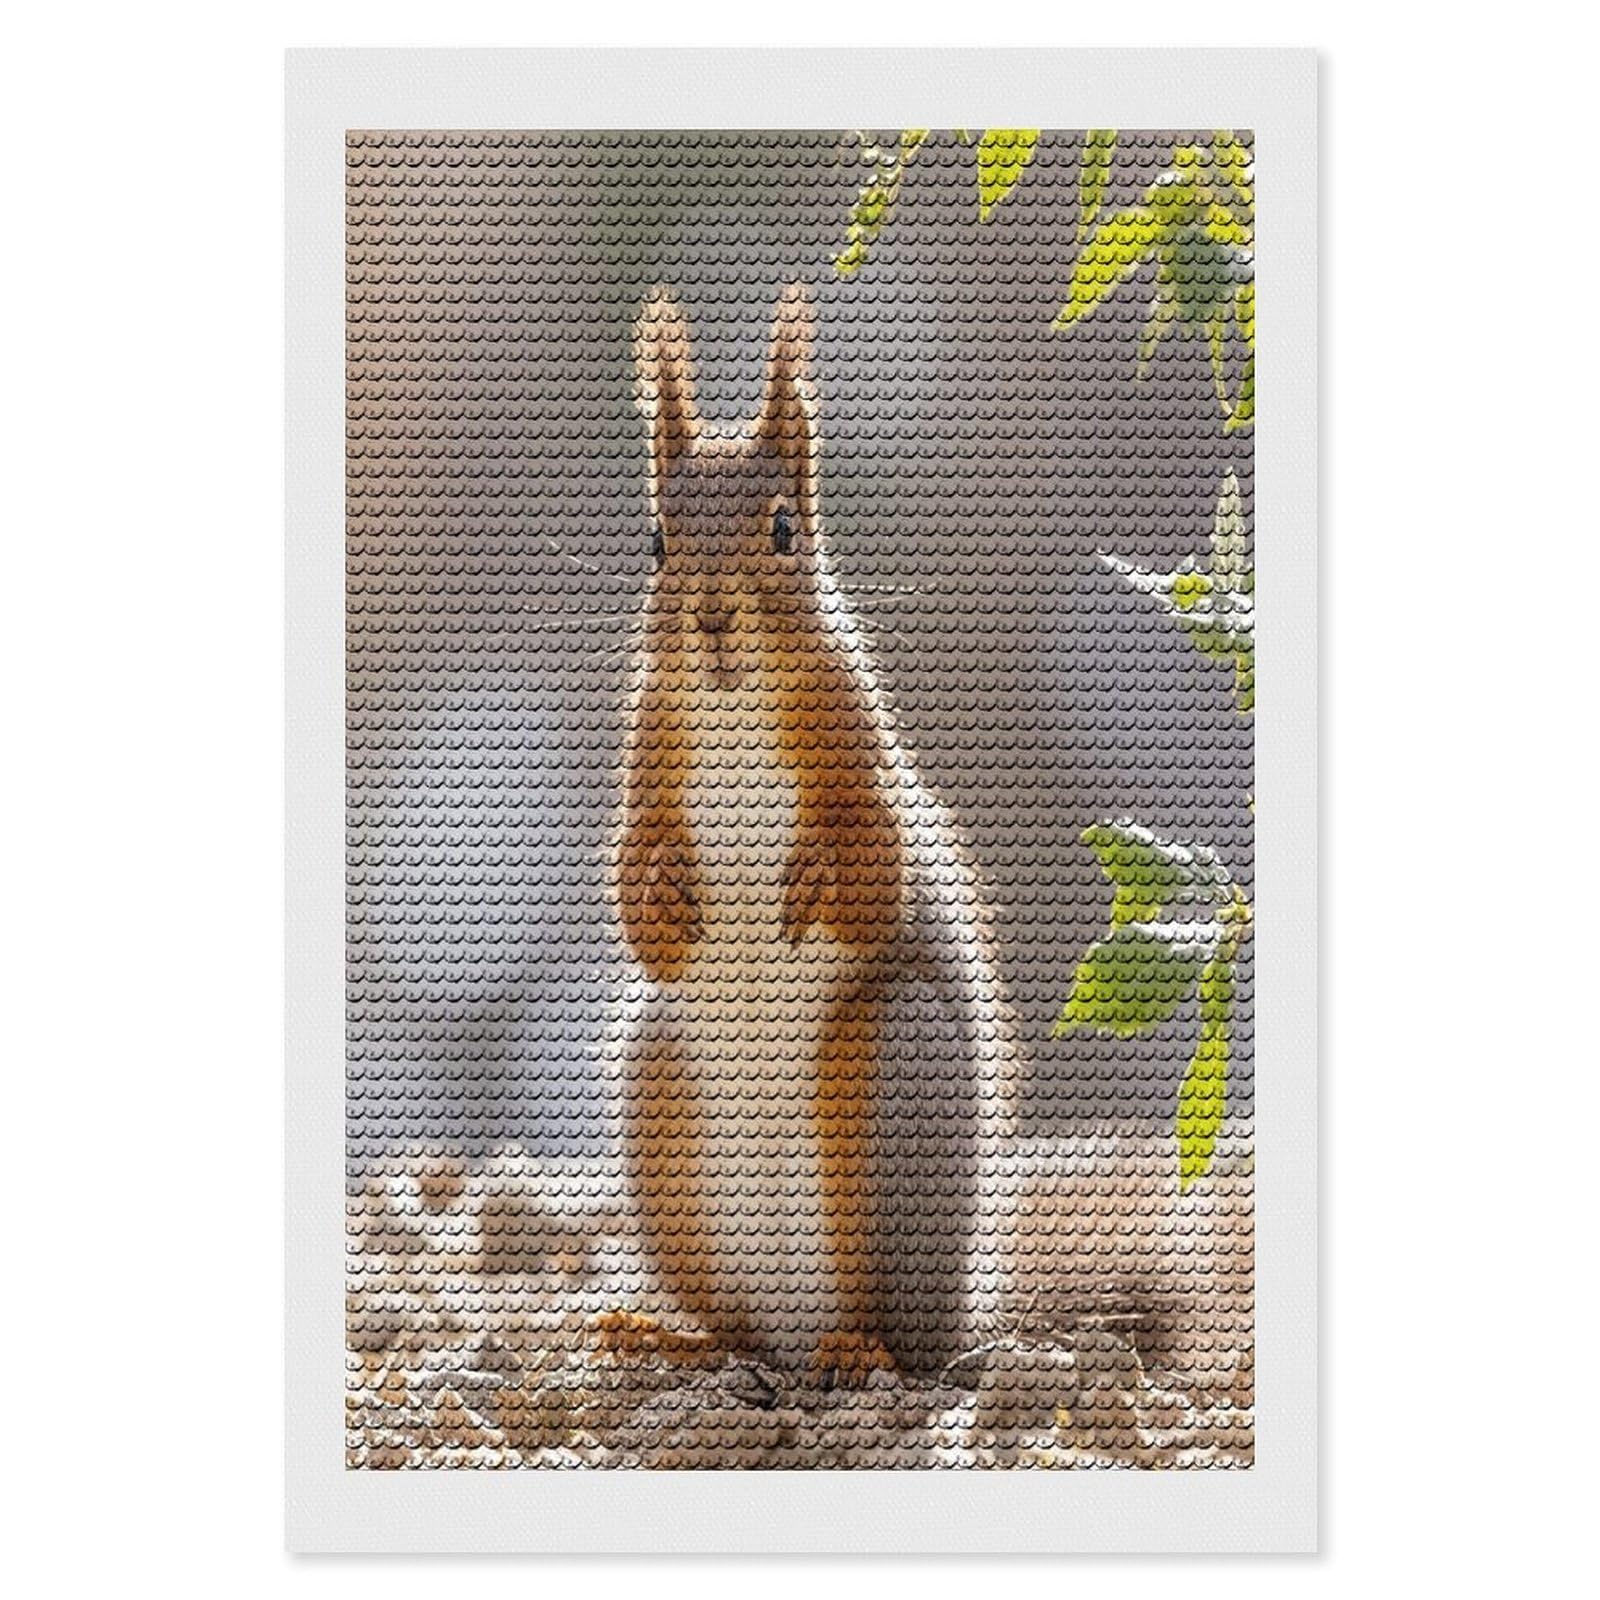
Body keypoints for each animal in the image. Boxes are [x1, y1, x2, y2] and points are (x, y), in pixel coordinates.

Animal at [609, 283, 1017, 1385]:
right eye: (654, 541)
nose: (711, 616)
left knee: (888, 1329)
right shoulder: (650, 753)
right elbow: (634, 899)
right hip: (661, 1097)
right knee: (738, 1327)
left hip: (891, 1079)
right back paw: (676, 1337)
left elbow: (880, 877)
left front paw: (819, 877)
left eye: (786, 529)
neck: (734, 710)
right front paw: (662, 889)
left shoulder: (861, 750)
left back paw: (856, 1345)